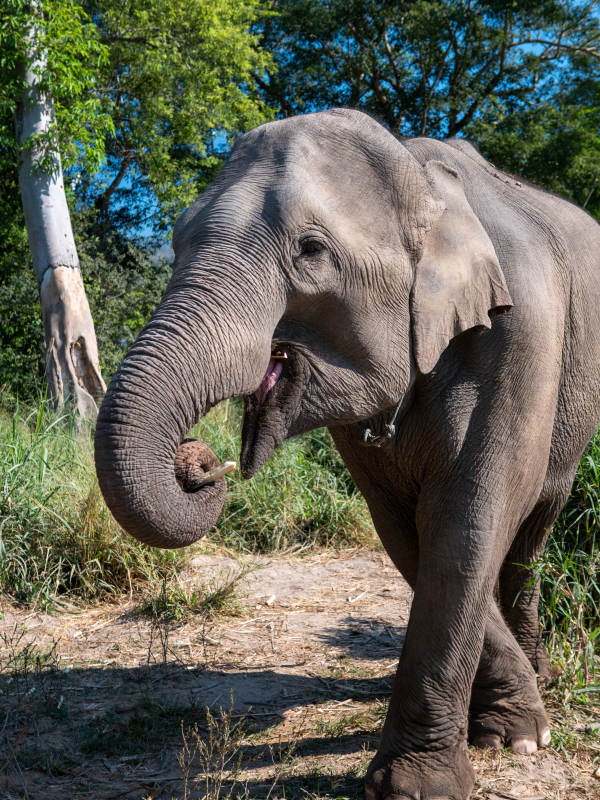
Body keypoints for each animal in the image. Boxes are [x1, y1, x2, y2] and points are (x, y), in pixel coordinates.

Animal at [94, 108, 600, 800]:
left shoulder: (521, 334)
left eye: (311, 251)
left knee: (533, 528)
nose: (201, 462)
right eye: (174, 242)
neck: (421, 179)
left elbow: (471, 516)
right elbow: (407, 531)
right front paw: (499, 729)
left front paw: (453, 771)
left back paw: (542, 675)